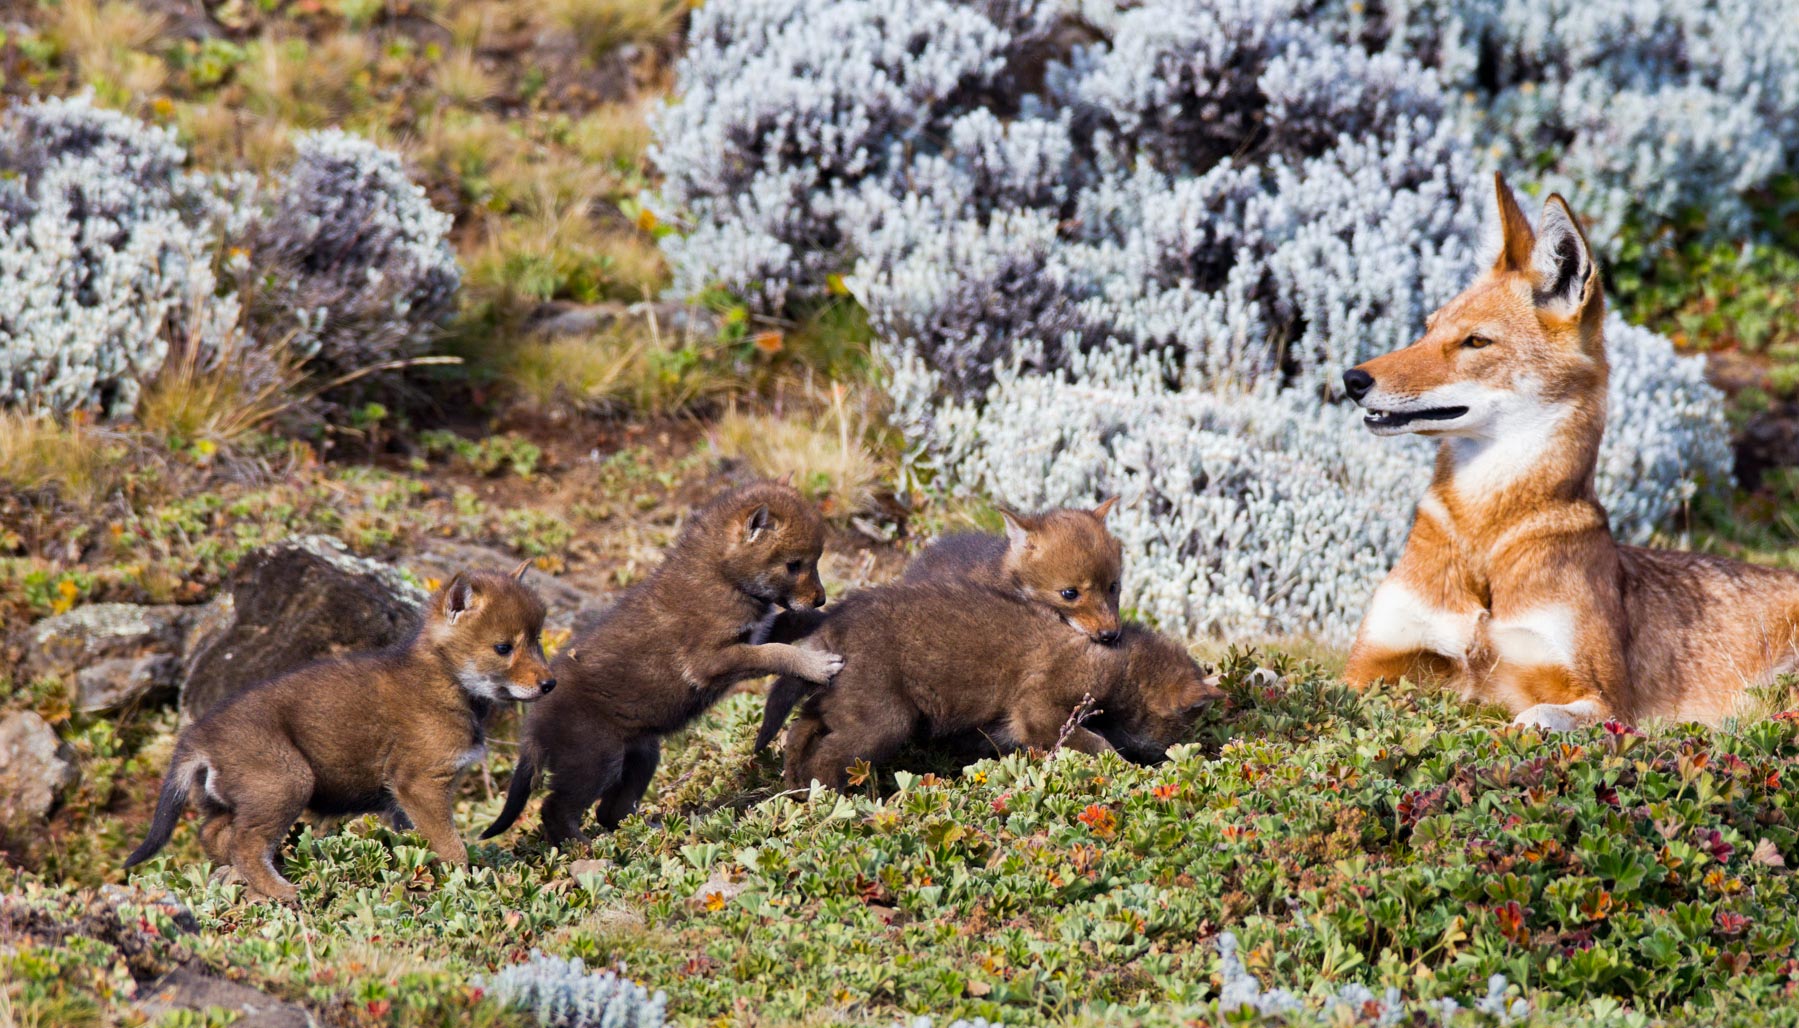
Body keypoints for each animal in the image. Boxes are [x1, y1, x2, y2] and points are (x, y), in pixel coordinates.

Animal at [1338, 171, 1799, 730]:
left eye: (1475, 342)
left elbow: (1533, 718)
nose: (1352, 380)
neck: (1485, 540)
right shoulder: (1368, 665)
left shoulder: (1601, 697)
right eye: (1427, 330)